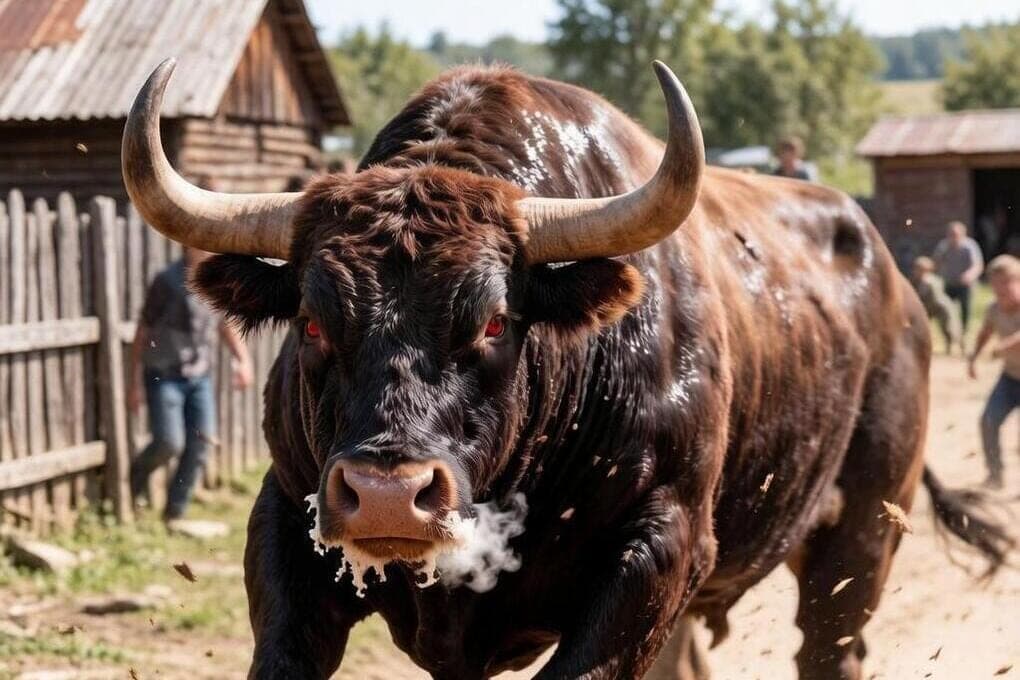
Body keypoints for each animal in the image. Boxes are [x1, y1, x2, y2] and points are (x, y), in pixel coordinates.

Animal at [122, 59, 1011, 680]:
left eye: (492, 319)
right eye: (311, 318)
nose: (386, 496)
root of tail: (896, 289)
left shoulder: (659, 550)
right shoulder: (287, 520)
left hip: (860, 536)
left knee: (832, 648)